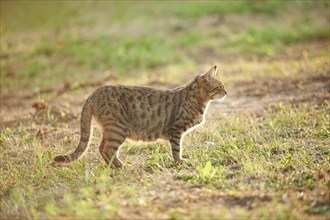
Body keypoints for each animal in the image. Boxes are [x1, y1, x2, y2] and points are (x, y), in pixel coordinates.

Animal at [53, 66, 227, 168]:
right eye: (220, 87)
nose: (226, 92)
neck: (198, 99)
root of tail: (93, 93)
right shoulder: (175, 130)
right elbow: (177, 149)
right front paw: (180, 162)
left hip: (111, 129)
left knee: (102, 147)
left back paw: (113, 166)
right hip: (118, 129)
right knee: (107, 148)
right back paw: (119, 166)